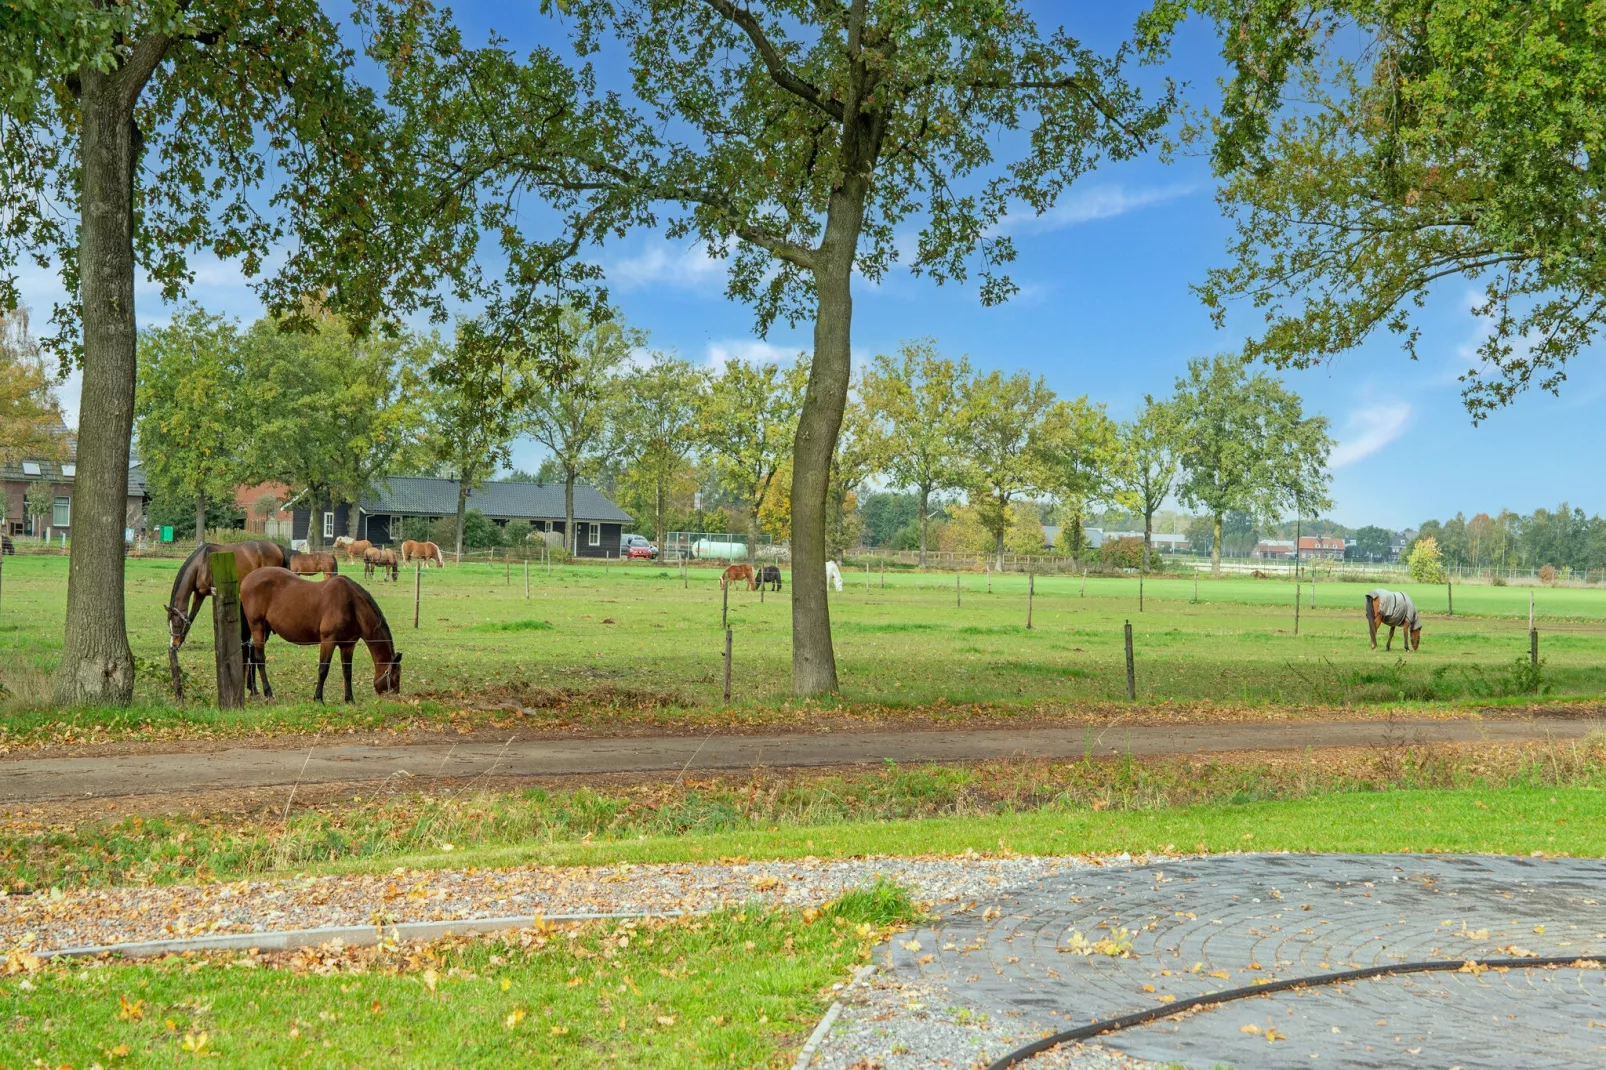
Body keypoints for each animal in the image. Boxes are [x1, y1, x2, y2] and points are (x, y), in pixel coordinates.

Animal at [244, 562, 411, 703]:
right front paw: (318, 698)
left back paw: (253, 690)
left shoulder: (348, 644)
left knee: (252, 654)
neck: (351, 603)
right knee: (260, 658)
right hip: (257, 627)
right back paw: (268, 693)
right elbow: (323, 669)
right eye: (396, 677)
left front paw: (349, 699)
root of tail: (247, 579)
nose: (395, 697)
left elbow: (347, 672)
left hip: (265, 630)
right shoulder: (328, 641)